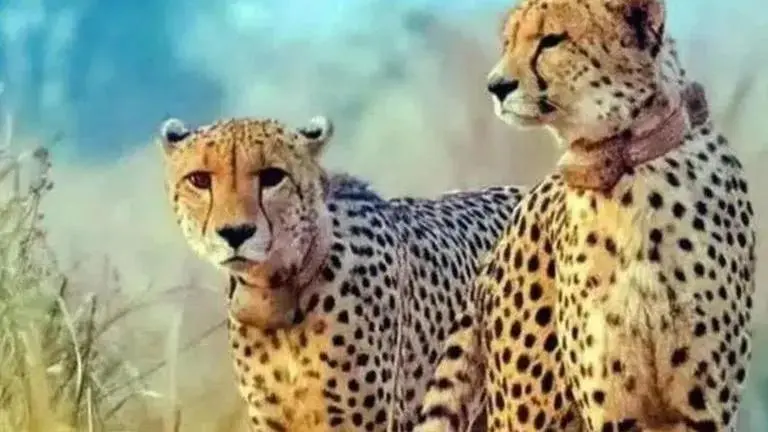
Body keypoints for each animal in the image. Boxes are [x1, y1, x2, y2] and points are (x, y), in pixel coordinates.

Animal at [415, 0, 756, 431]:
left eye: (551, 40)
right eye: (508, 42)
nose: (496, 86)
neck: (626, 169)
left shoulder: (705, 408)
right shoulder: (611, 410)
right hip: (528, 412)